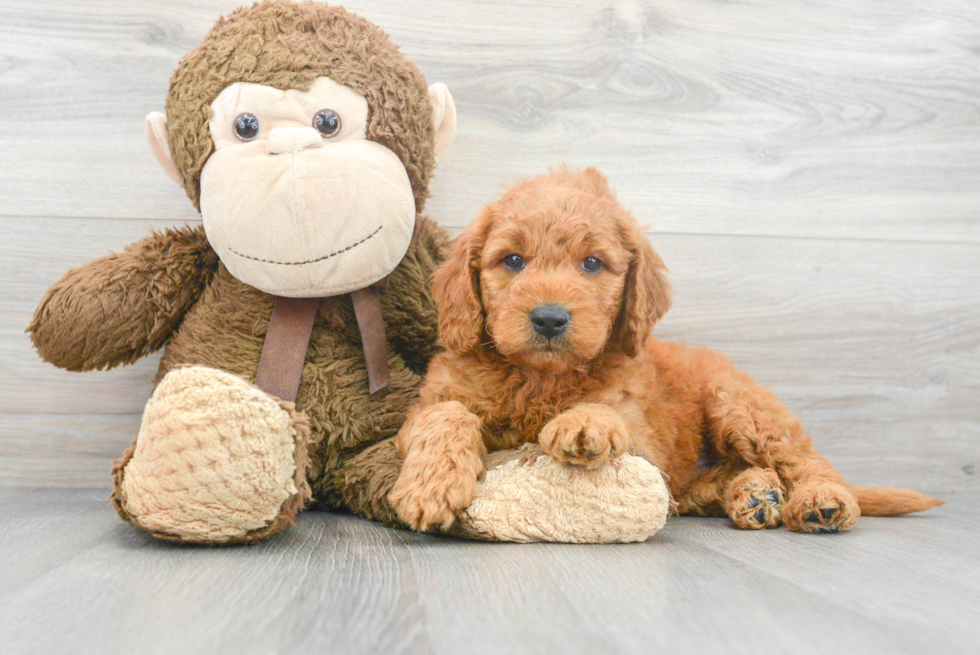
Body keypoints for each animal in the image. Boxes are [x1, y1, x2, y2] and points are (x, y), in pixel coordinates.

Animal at [388, 167, 940, 536]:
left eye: (593, 263)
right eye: (513, 260)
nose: (548, 318)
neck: (539, 376)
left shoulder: (643, 440)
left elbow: (609, 413)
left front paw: (582, 421)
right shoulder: (426, 407)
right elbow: (447, 414)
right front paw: (431, 486)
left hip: (739, 406)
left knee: (803, 459)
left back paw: (820, 500)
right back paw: (754, 494)